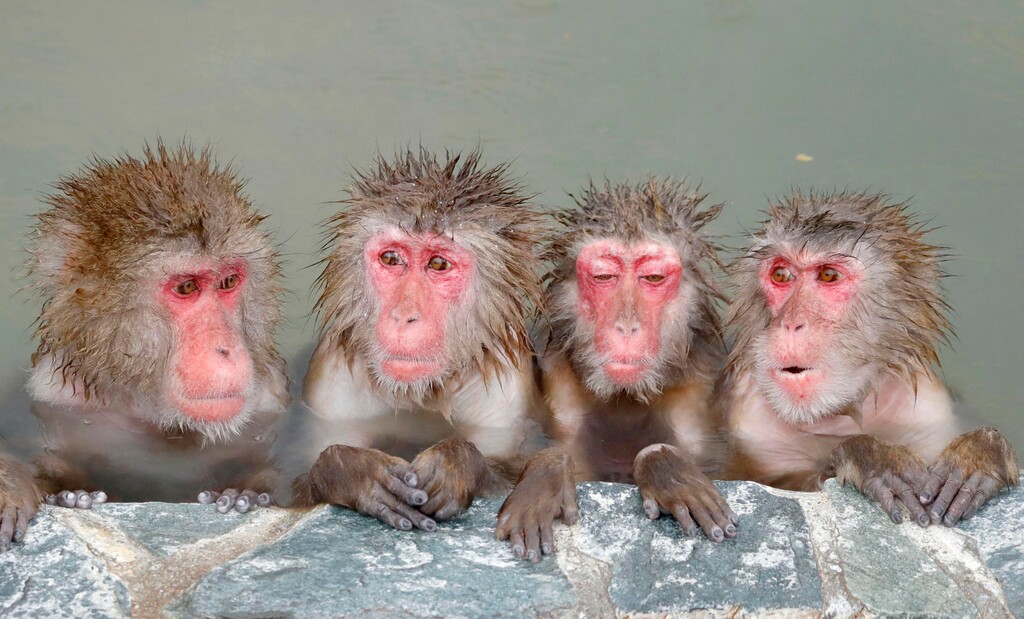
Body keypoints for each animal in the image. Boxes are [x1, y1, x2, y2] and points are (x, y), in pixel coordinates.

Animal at [0, 142, 290, 550]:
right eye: (186, 287)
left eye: (229, 282)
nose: (226, 349)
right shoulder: (49, 395)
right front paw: (51, 492)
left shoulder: (270, 398)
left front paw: (244, 494)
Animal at [292, 147, 549, 536]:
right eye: (390, 258)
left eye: (438, 264)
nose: (404, 315)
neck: (421, 392)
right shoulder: (331, 382)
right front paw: (355, 471)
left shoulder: (507, 392)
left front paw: (455, 464)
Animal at [496, 179, 737, 563]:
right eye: (604, 276)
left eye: (652, 277)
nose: (626, 325)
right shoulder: (557, 386)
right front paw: (547, 475)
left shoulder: (699, 393)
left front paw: (666, 469)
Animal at [720, 190, 1019, 527]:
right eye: (781, 274)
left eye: (829, 275)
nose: (792, 323)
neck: (834, 415)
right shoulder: (750, 421)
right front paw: (870, 456)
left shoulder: (929, 408)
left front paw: (979, 454)